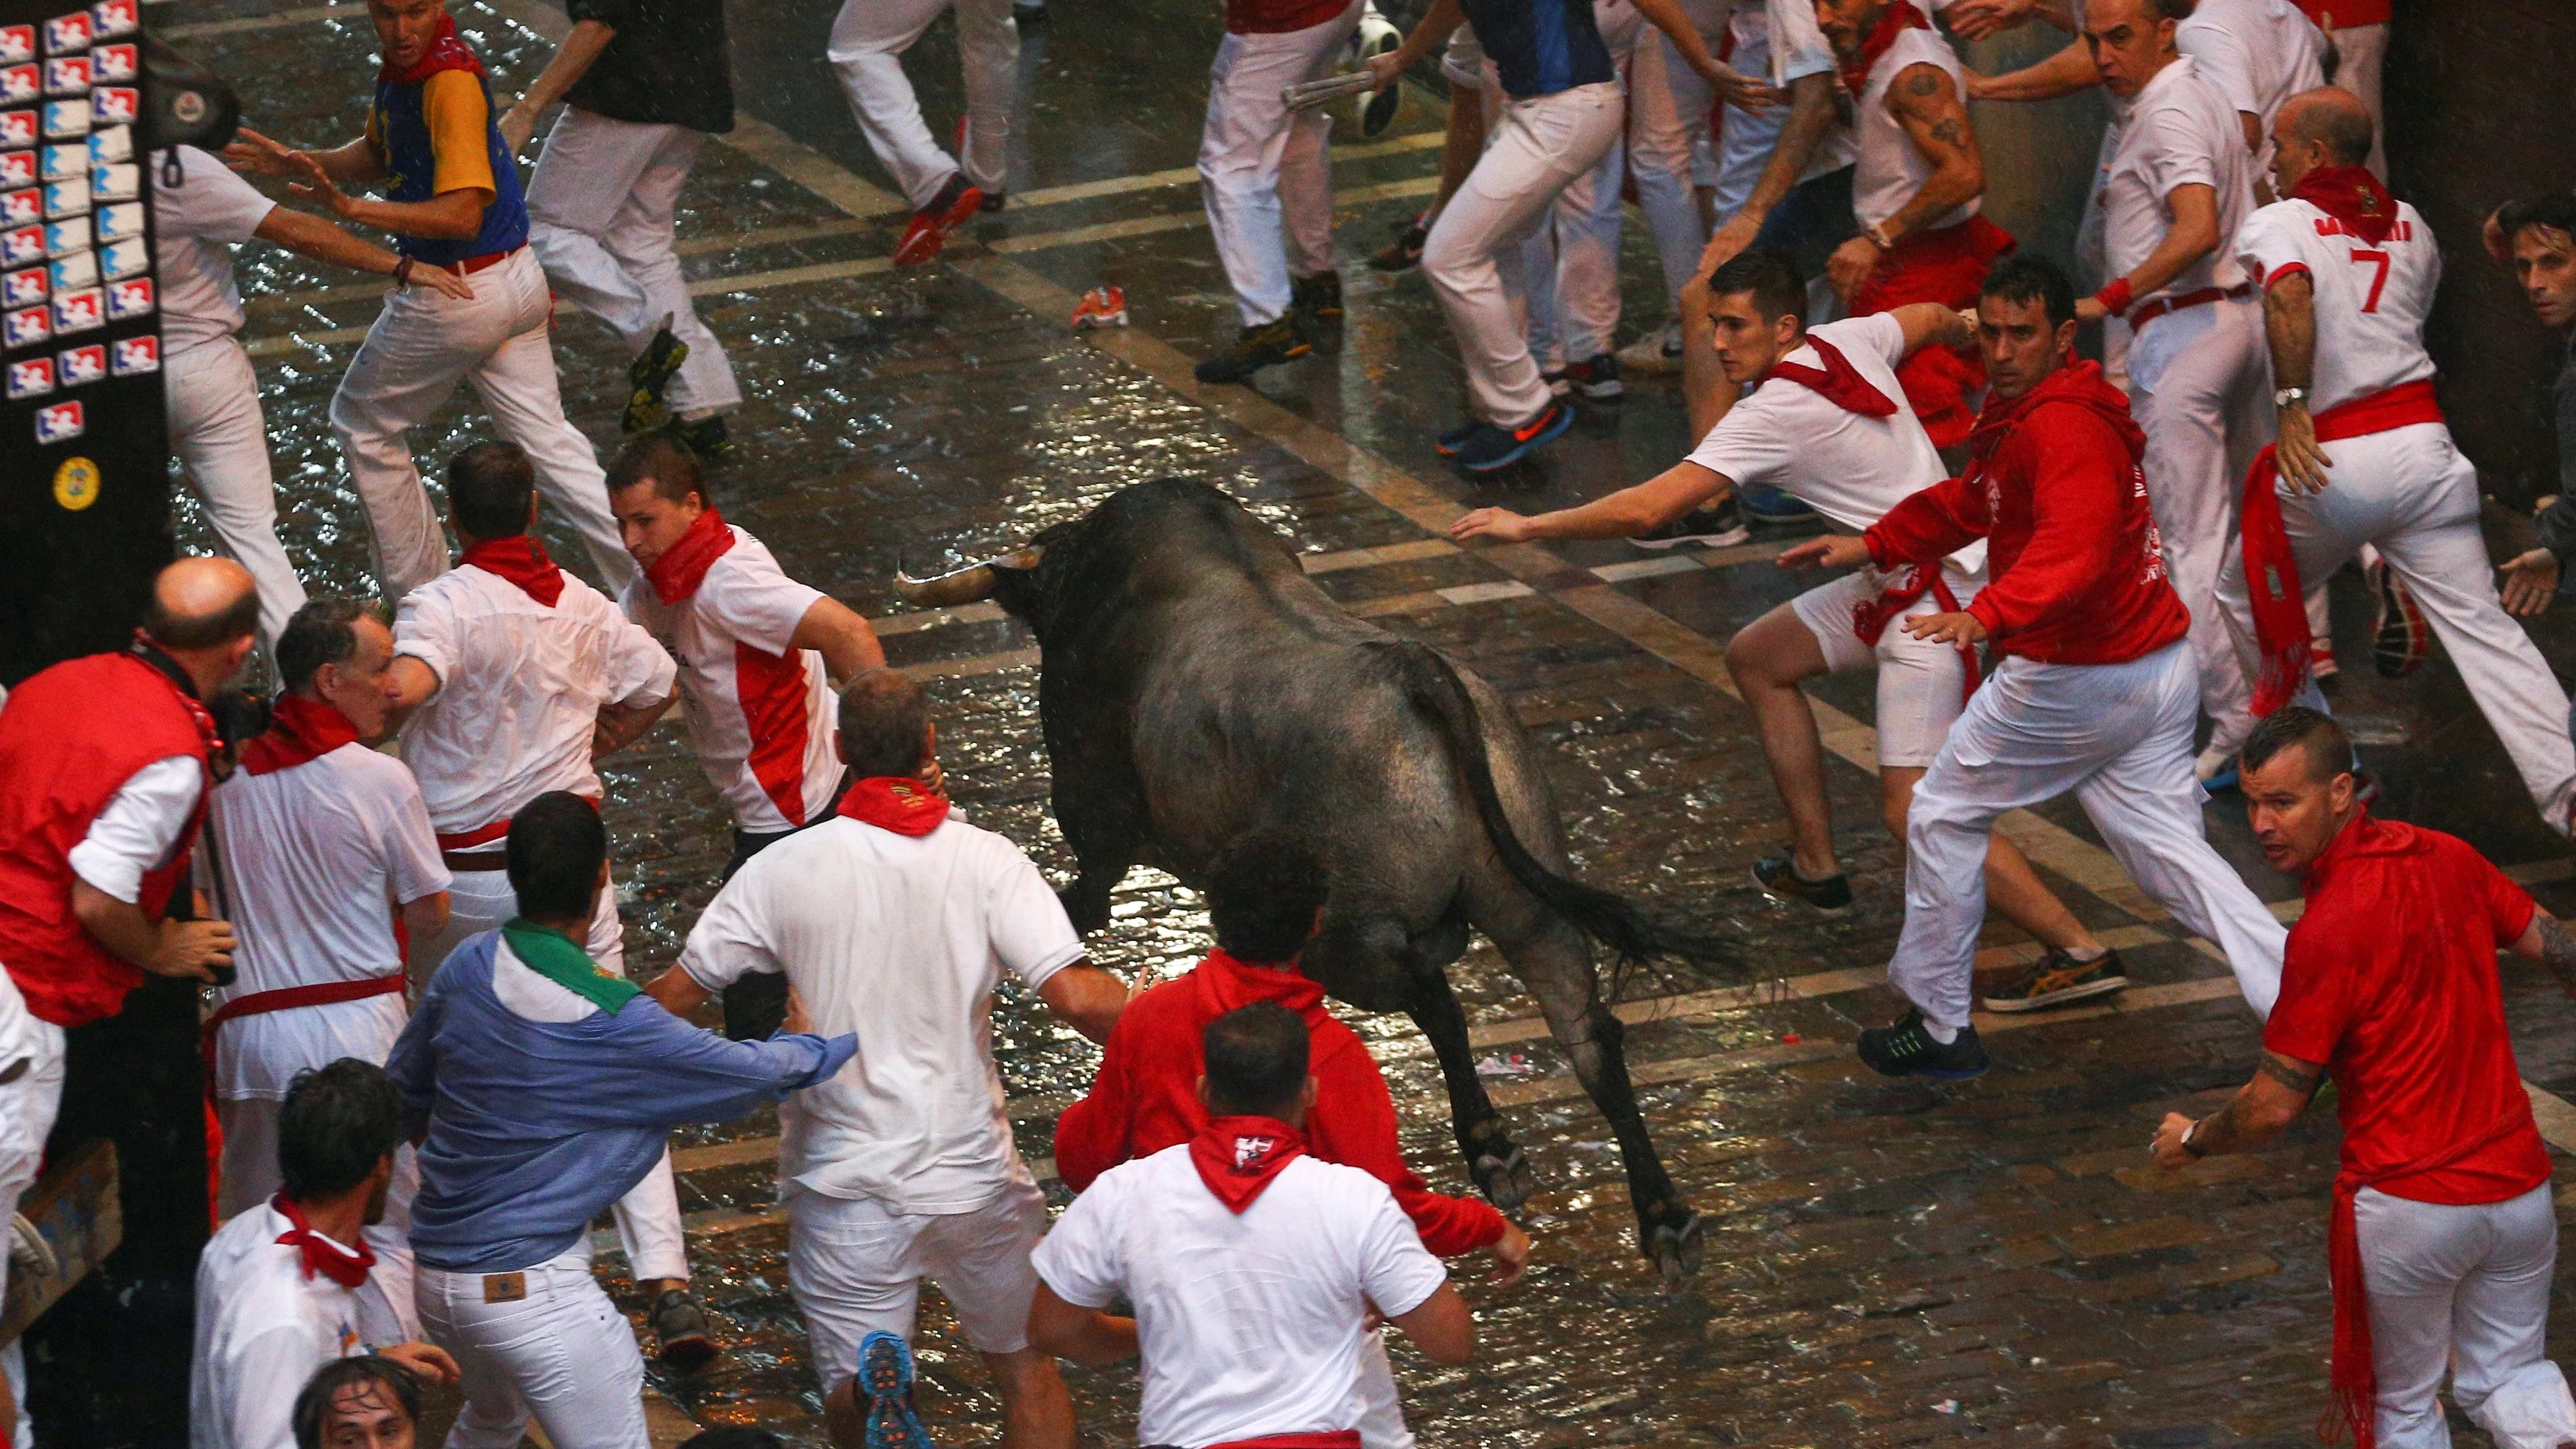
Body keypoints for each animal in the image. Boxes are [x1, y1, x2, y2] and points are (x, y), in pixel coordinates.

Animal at [896, 478, 1721, 1281]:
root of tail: (1414, 675)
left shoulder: (1095, 830)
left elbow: (1078, 904)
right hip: (1525, 905)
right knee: (1587, 1033)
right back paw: (1664, 1217)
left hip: (1347, 936)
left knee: (1439, 1000)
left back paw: (1494, 1143)